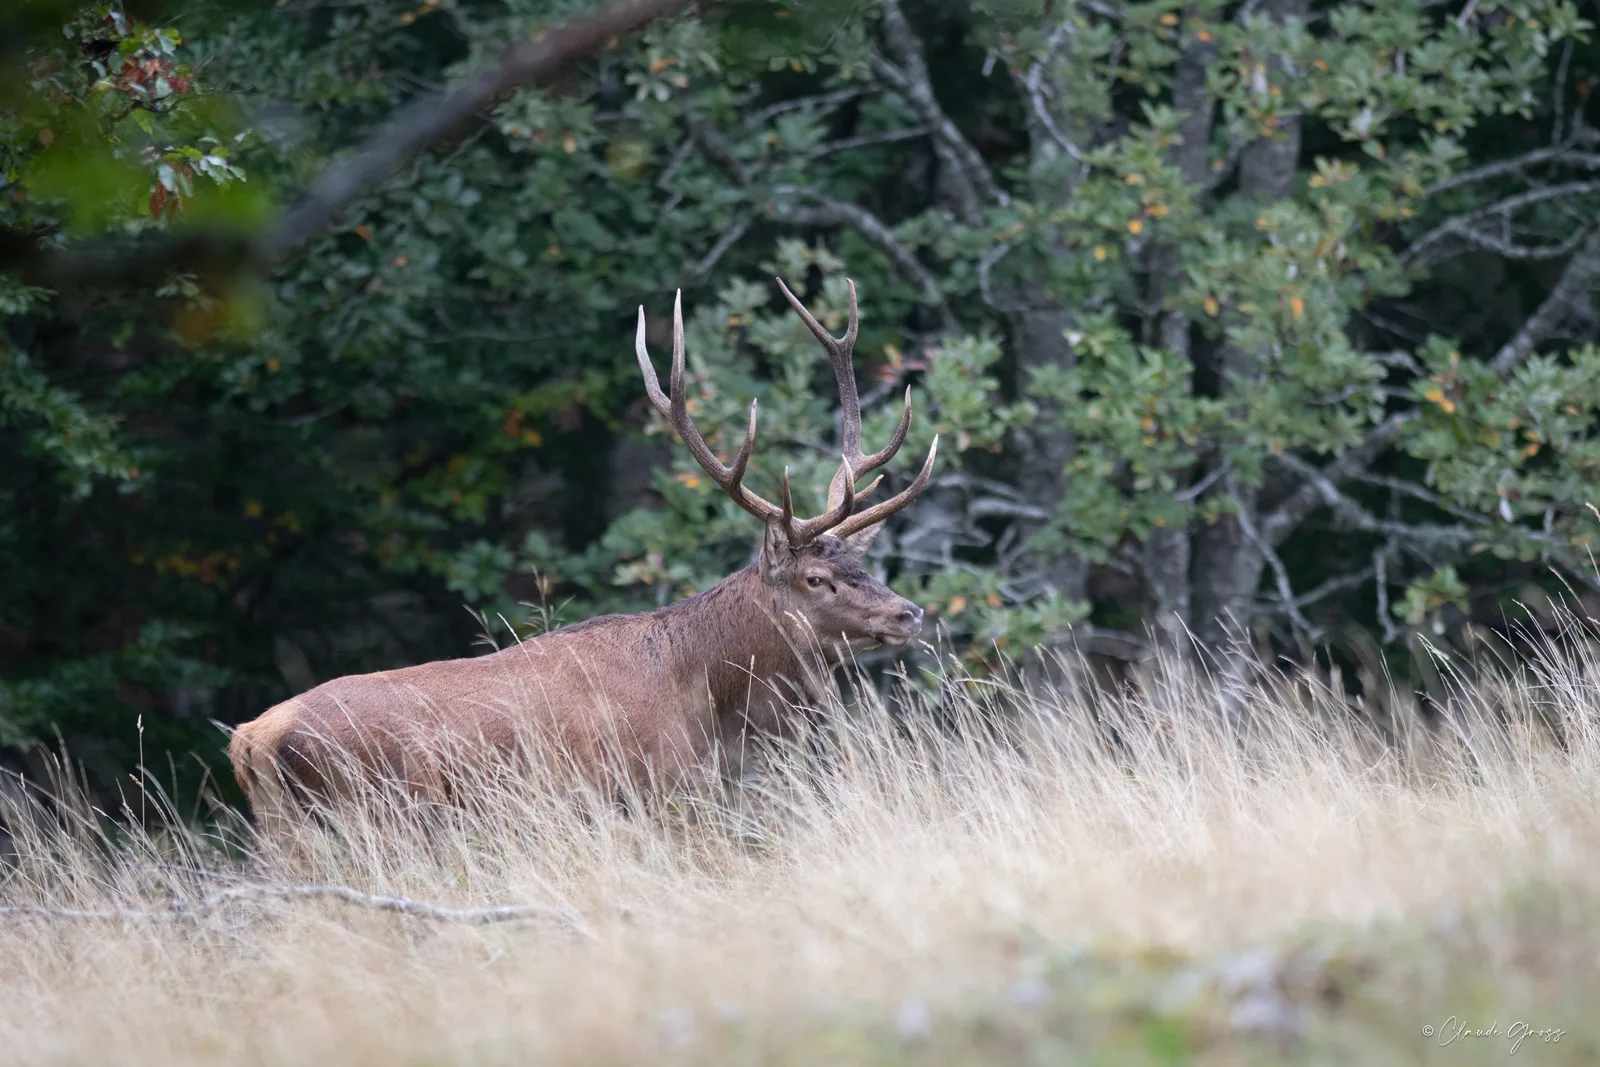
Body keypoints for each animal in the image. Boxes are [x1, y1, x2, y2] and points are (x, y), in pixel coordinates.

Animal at [227, 278, 938, 834]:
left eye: (861, 566)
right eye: (816, 578)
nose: (909, 614)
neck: (708, 701)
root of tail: (252, 742)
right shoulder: (647, 792)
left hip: (288, 833)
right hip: (374, 811)